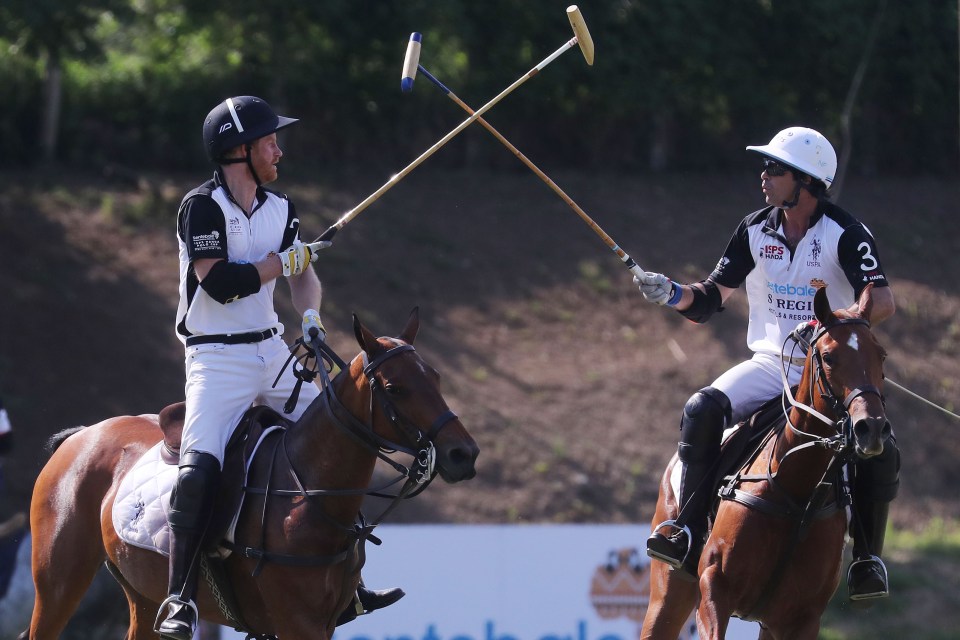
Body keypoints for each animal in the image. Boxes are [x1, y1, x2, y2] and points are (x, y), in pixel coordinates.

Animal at [15, 308, 480, 636]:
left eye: (436, 377)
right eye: (394, 388)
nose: (464, 454)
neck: (306, 494)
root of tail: (81, 435)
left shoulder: (320, 624)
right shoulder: (297, 624)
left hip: (142, 594)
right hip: (57, 581)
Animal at [640, 286, 888, 640]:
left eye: (881, 355)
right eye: (828, 357)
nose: (872, 428)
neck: (796, 492)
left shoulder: (800, 619)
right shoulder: (714, 589)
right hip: (668, 589)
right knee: (704, 405)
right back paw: (673, 540)